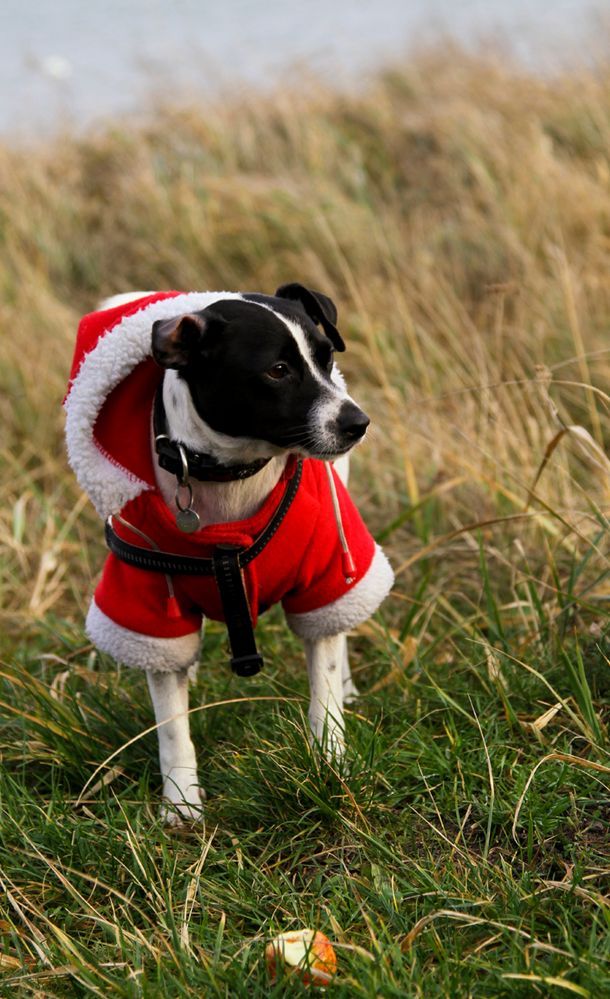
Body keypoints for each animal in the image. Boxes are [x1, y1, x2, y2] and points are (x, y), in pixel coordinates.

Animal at [64, 282, 392, 820]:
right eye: (277, 370)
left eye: (327, 358)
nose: (357, 422)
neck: (231, 480)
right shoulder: (145, 599)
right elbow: (171, 723)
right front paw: (181, 803)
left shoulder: (325, 571)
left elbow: (322, 685)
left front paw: (331, 762)